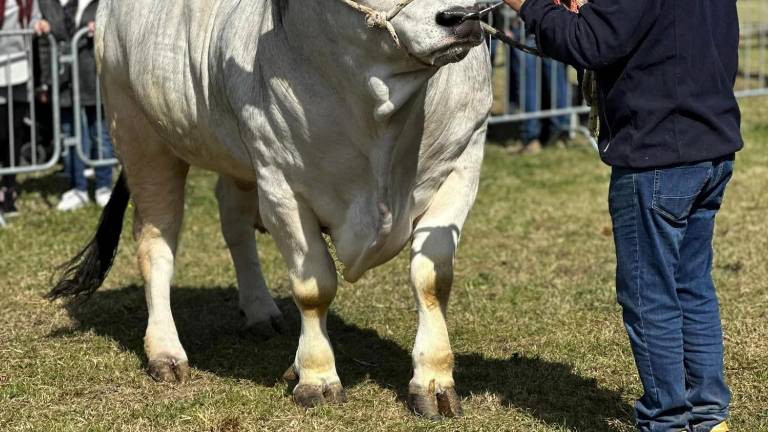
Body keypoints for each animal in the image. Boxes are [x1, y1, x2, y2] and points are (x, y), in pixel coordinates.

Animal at [49, 0, 492, 418]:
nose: (463, 17)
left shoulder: (463, 160)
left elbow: (432, 278)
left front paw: (434, 382)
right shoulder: (281, 184)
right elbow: (314, 287)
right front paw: (317, 377)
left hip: (236, 159)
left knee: (233, 222)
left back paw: (260, 310)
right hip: (141, 136)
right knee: (155, 243)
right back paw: (165, 351)